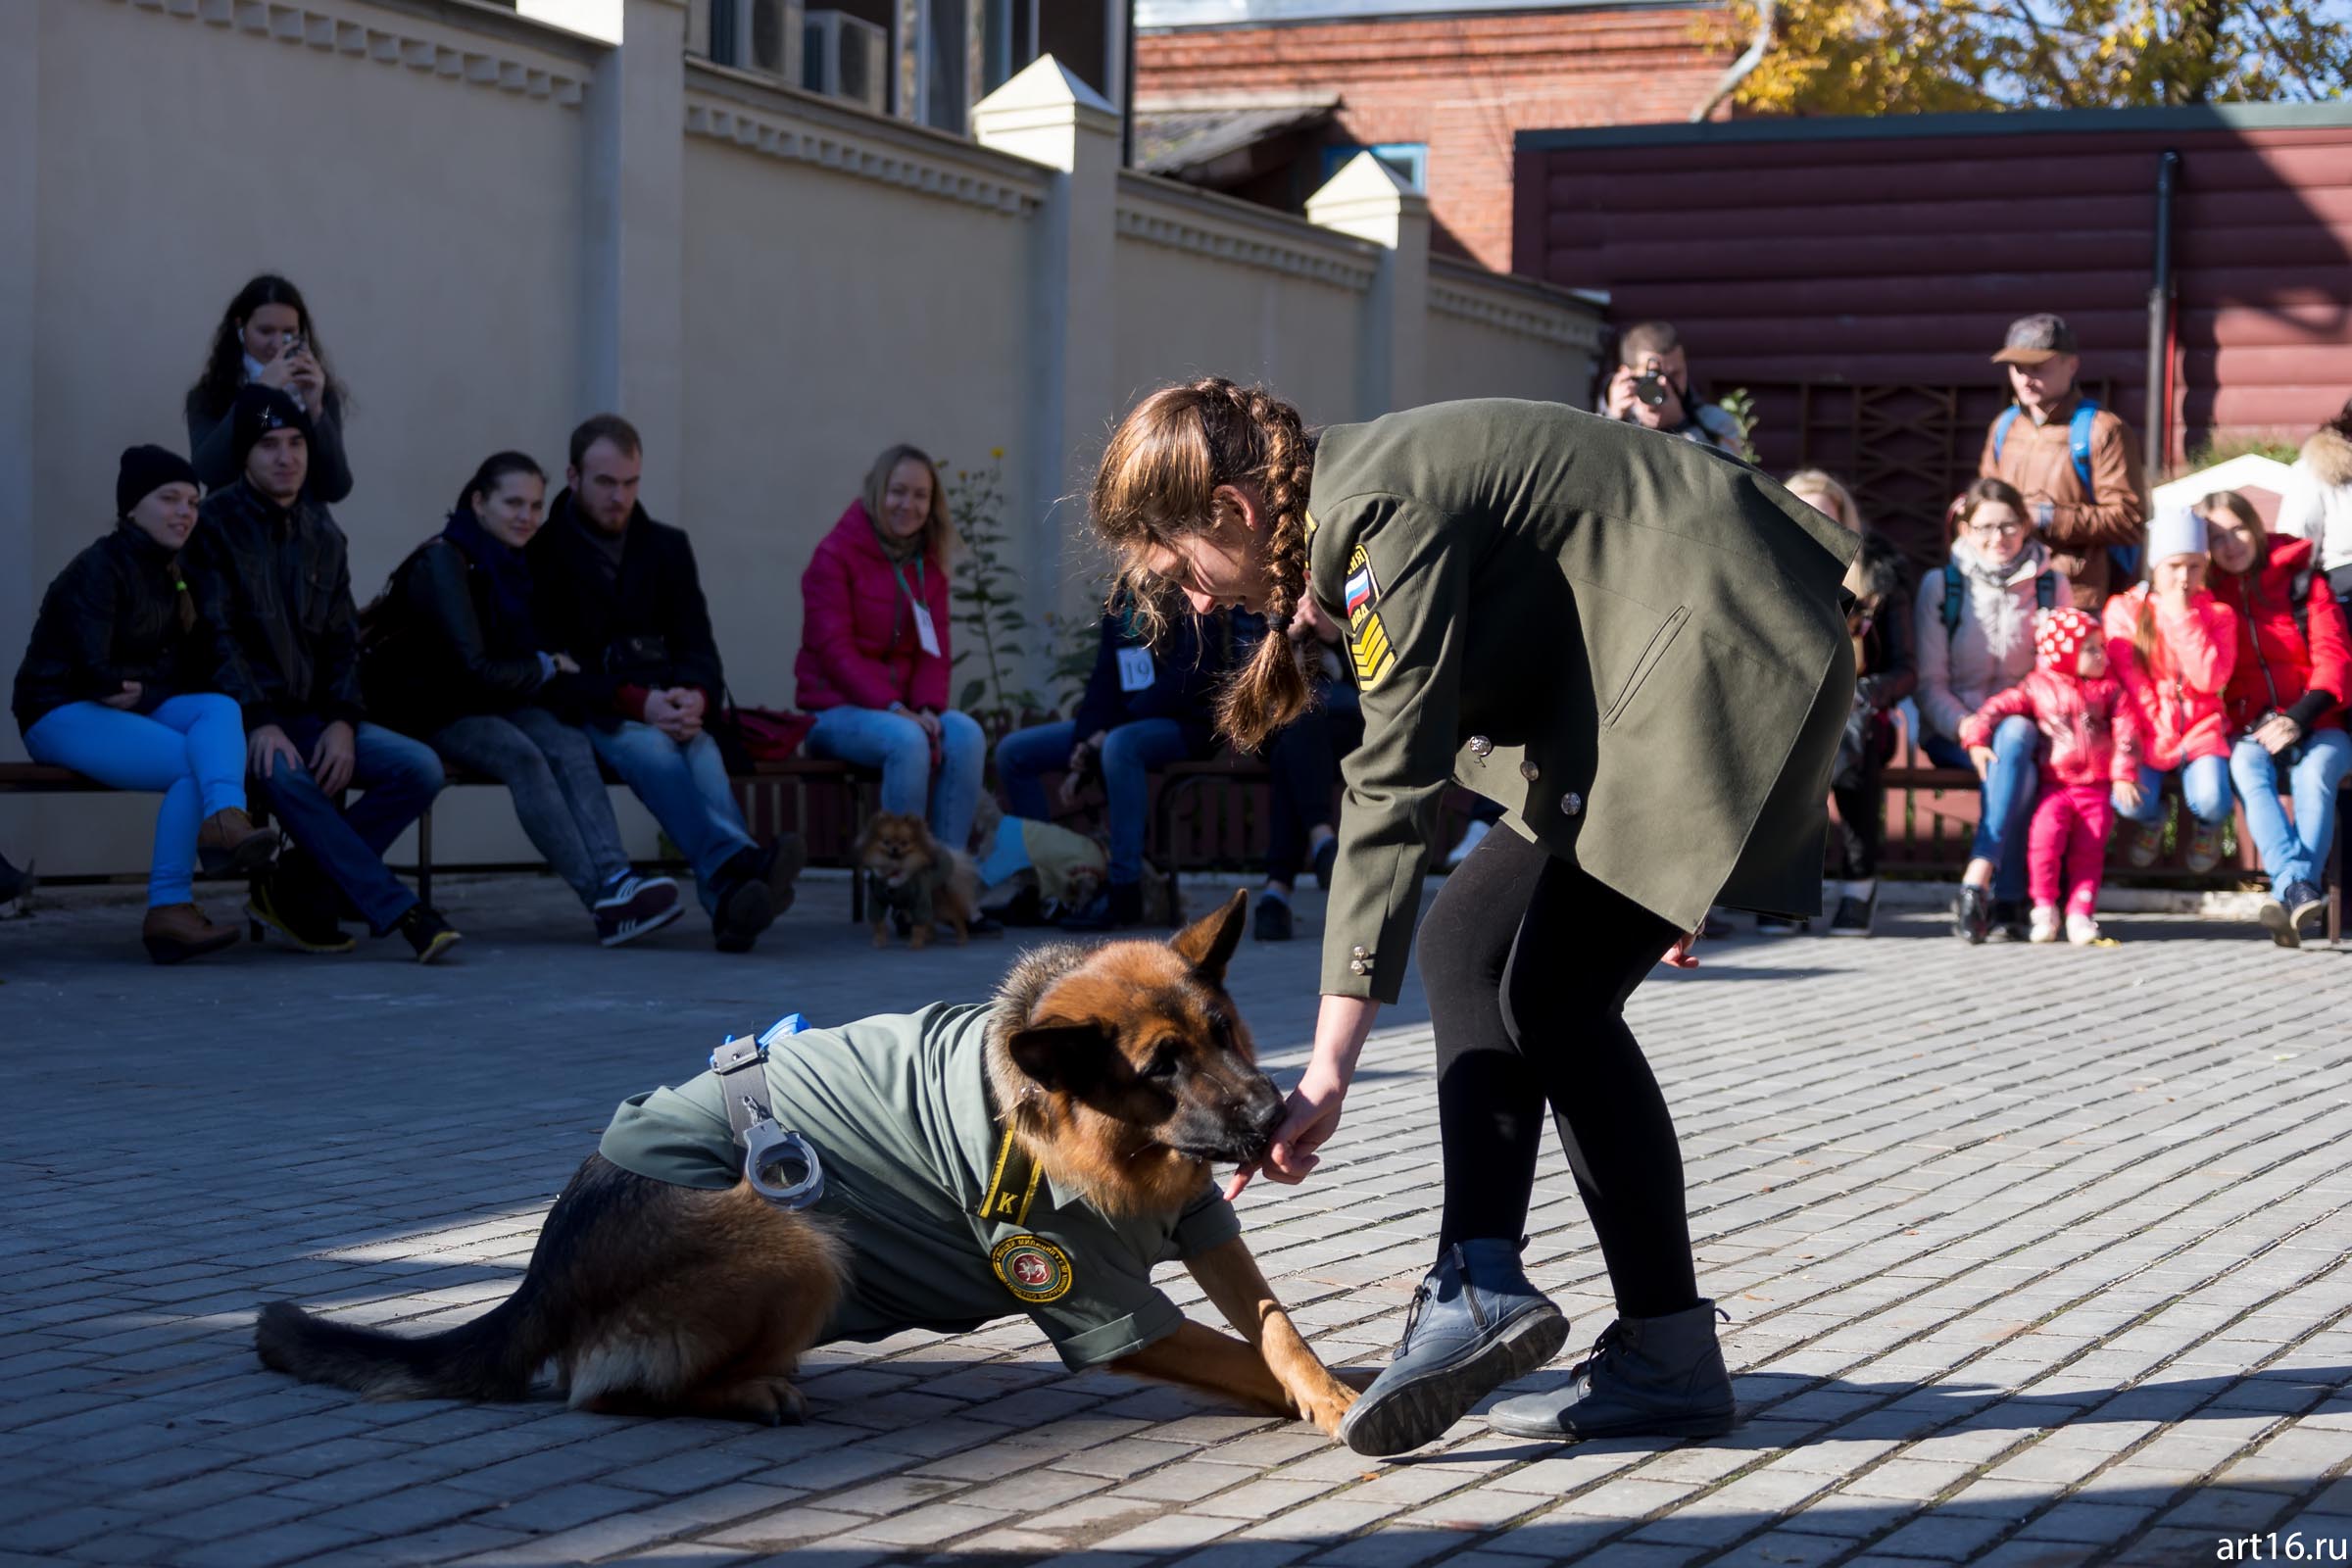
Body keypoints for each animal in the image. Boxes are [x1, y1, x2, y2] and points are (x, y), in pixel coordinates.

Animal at [255, 888, 1364, 1439]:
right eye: (1160, 1066)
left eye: (1221, 1030)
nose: (1277, 1114)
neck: (1098, 1136)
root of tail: (547, 1266)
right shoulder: (1094, 1301)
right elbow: (1233, 1351)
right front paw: (1351, 1403)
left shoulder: (1206, 1225)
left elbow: (1272, 1325)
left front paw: (1325, 1380)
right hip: (799, 1242)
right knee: (600, 1388)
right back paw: (745, 1392)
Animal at [856, 817, 983, 950]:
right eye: (886, 842)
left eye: (904, 843)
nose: (894, 849)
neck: (893, 871)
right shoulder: (878, 902)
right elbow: (879, 925)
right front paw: (879, 941)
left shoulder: (919, 903)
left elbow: (917, 927)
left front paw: (915, 944)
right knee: (931, 924)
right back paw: (929, 938)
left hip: (940, 908)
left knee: (957, 918)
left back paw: (962, 938)